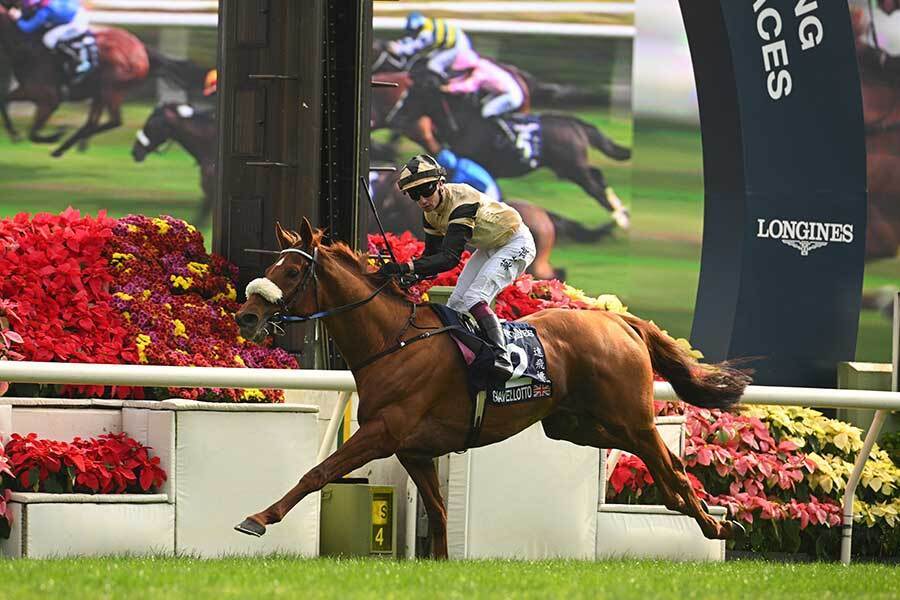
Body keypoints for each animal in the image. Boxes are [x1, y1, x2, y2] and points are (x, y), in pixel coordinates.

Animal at [0, 5, 196, 155]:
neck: (26, 47)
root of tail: (142, 51)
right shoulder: (27, 90)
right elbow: (3, 102)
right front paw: (14, 134)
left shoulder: (48, 99)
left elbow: (33, 132)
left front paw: (56, 134)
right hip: (101, 92)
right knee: (92, 122)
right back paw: (68, 146)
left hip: (111, 88)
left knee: (113, 122)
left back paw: (68, 143)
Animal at [234, 220, 752, 556]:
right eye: (274, 267)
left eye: (292, 272)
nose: (247, 317)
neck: (393, 340)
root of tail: (619, 322)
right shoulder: (414, 449)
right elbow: (440, 514)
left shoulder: (383, 432)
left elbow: (317, 473)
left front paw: (257, 518)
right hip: (574, 425)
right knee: (659, 463)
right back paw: (702, 513)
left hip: (630, 415)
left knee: (668, 462)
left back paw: (711, 522)